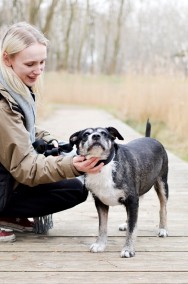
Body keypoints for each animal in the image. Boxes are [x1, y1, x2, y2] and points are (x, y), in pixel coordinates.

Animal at [69, 121, 169, 258]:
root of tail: (150, 138)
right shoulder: (100, 202)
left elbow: (132, 229)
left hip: (162, 183)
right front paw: (100, 244)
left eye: (104, 133)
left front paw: (128, 249)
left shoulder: (132, 200)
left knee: (163, 207)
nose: (96, 136)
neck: (102, 164)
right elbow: (102, 226)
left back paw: (163, 229)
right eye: (86, 134)